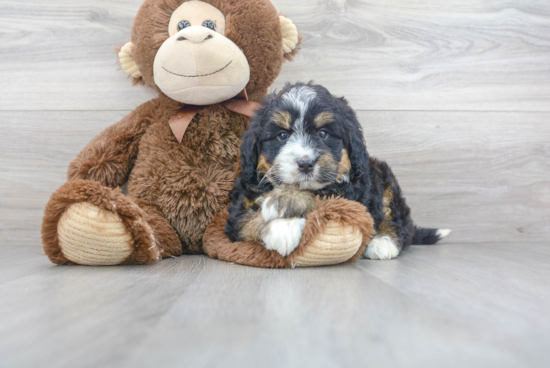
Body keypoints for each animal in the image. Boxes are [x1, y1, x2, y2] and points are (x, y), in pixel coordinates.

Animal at [225, 82, 452, 260]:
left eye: (323, 133)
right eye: (282, 135)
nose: (306, 163)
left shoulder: (353, 196)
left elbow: (322, 195)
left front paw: (284, 202)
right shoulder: (239, 209)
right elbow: (247, 220)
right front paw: (281, 228)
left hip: (385, 179)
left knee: (400, 222)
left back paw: (383, 242)